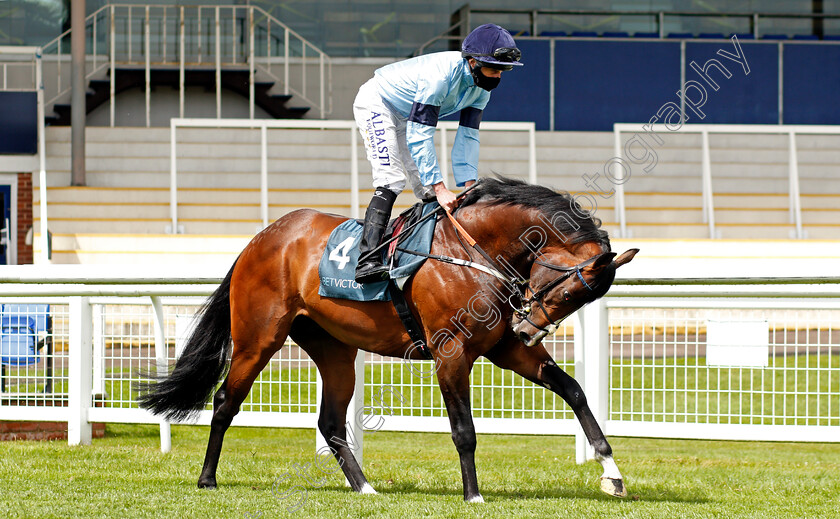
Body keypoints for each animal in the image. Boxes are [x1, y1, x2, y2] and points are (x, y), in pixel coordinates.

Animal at [138, 178, 636, 504]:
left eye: (582, 300)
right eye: (569, 293)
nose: (529, 329)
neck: (472, 250)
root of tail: (262, 237)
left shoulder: (504, 349)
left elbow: (574, 390)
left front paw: (612, 473)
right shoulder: (451, 353)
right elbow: (464, 430)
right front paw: (473, 496)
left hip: (335, 351)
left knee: (331, 422)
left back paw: (364, 486)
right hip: (257, 340)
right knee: (225, 401)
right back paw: (207, 479)